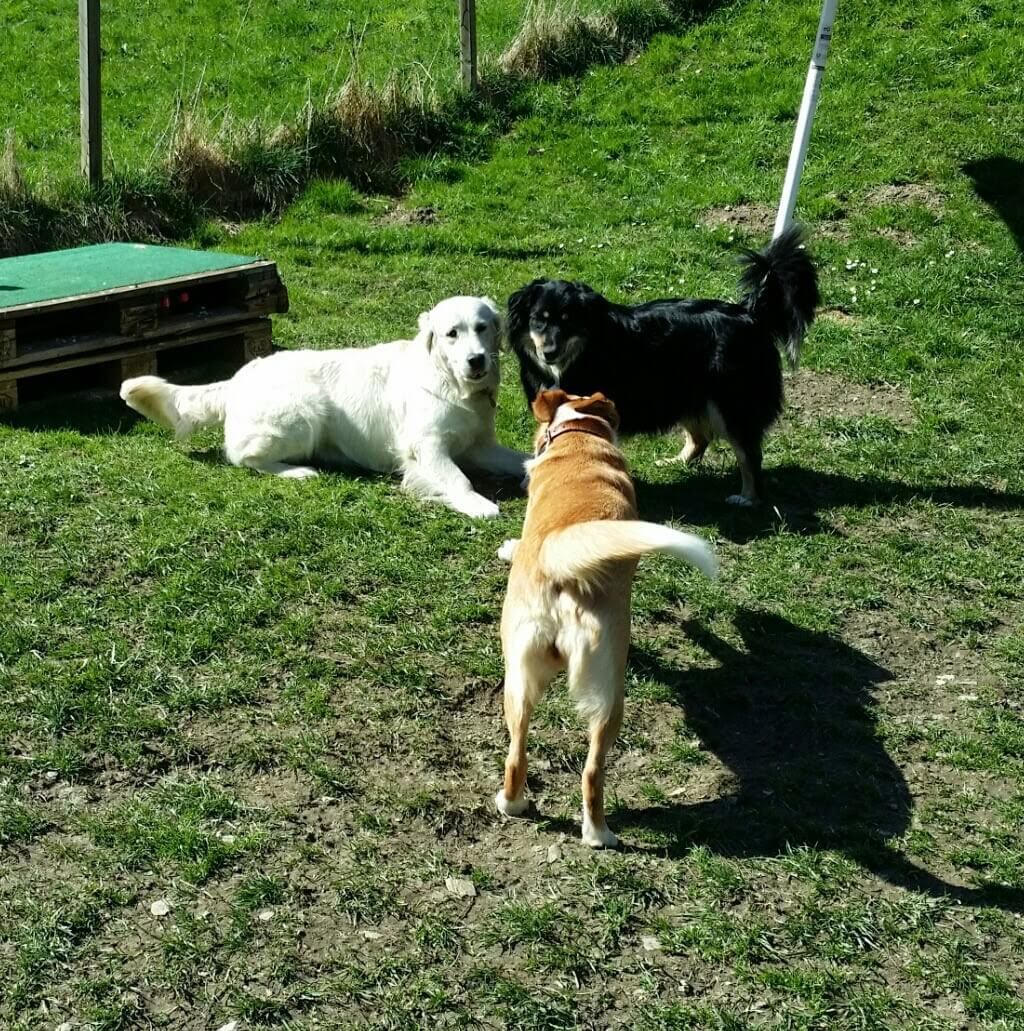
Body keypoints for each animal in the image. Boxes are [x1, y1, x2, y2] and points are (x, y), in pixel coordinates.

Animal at [121, 296, 527, 519]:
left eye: (483, 327)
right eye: (451, 334)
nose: (476, 360)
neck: (453, 383)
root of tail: (238, 378)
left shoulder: (479, 445)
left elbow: (523, 459)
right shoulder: (425, 447)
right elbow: (459, 478)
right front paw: (479, 505)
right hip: (304, 412)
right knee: (242, 457)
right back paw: (298, 471)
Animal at [494, 389, 717, 848]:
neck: (579, 436)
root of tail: (563, 572)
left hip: (532, 681)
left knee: (533, 757)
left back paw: (529, 810)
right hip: (594, 694)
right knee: (582, 769)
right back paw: (589, 830)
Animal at [506, 227, 819, 505]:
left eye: (568, 320)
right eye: (539, 319)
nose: (548, 352)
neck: (577, 355)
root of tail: (750, 314)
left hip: (730, 404)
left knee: (749, 453)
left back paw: (748, 497)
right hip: (687, 392)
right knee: (701, 437)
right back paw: (676, 462)